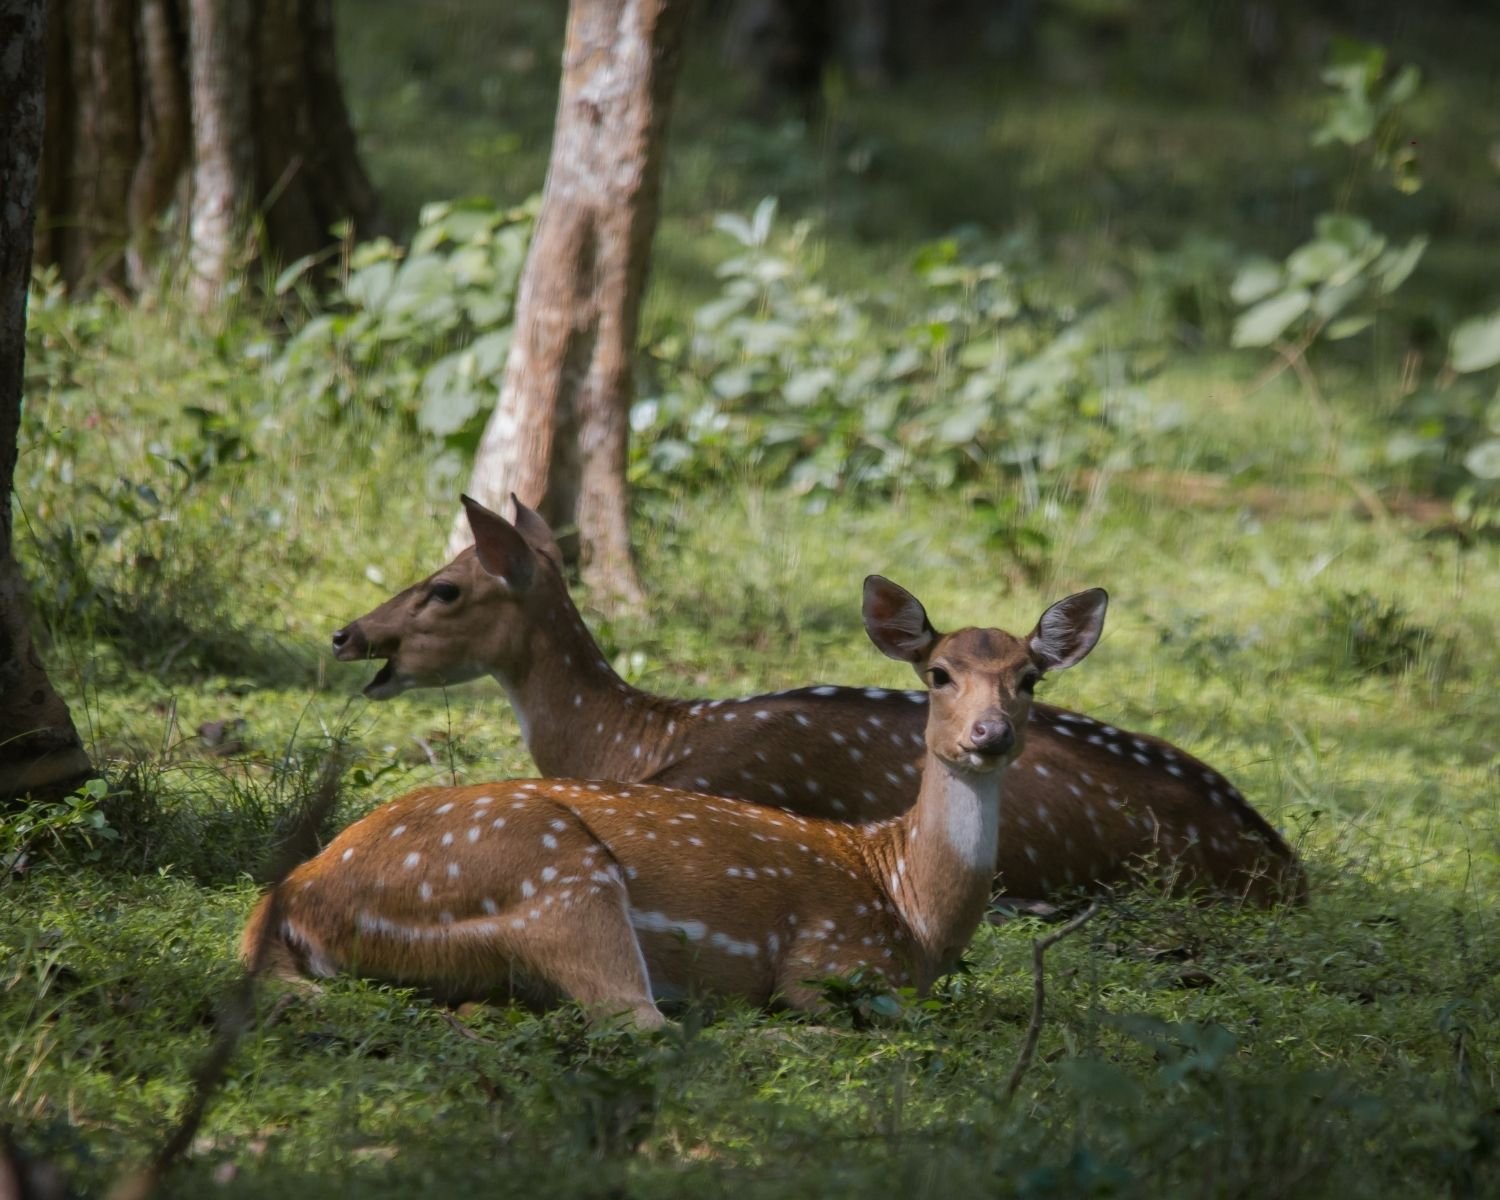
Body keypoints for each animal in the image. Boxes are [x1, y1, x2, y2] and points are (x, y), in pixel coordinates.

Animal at [244, 580, 1108, 1025]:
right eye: (938, 673)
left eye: (1030, 677)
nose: (991, 734)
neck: (911, 908)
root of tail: (295, 896)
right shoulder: (829, 959)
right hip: (557, 881)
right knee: (635, 1020)